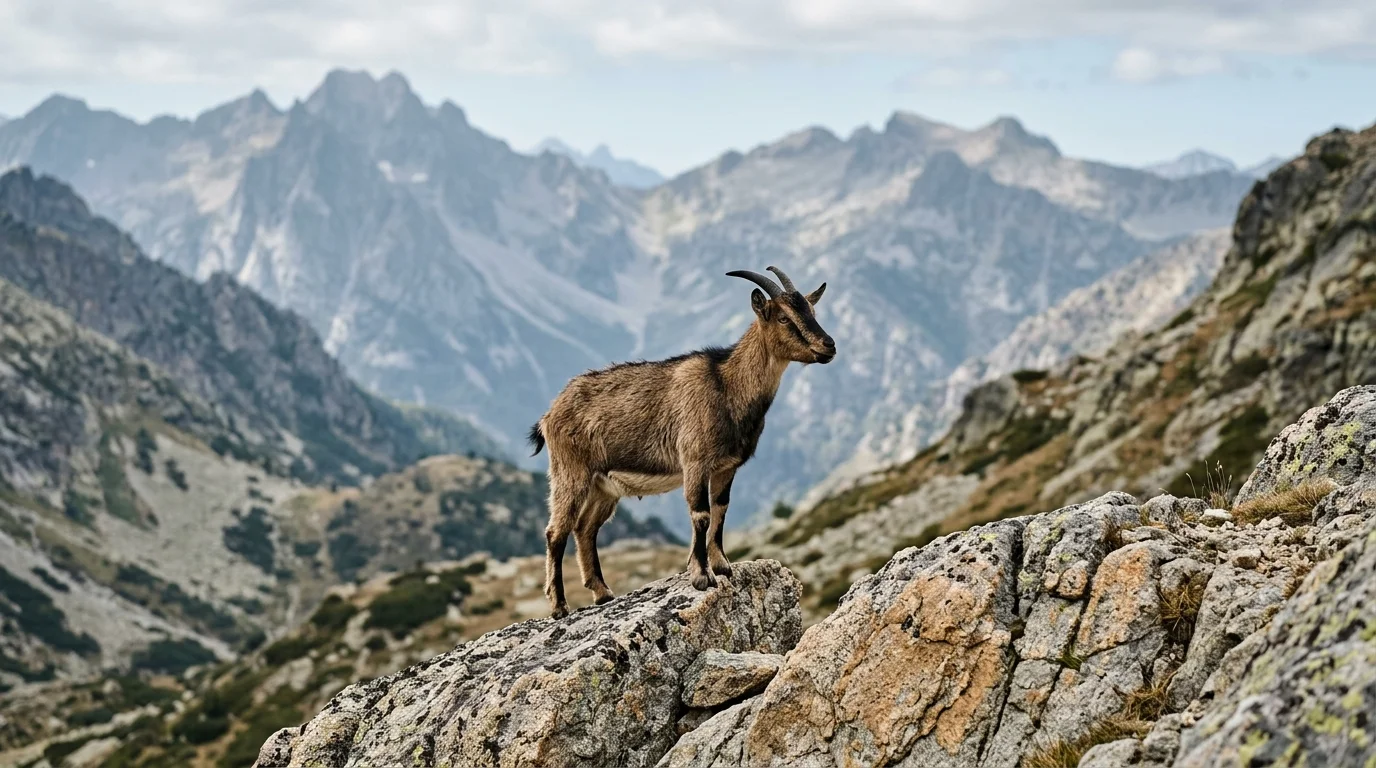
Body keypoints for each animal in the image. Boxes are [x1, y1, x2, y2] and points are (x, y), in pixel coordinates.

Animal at [528, 266, 836, 618]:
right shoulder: (695, 461)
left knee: (585, 528)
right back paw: (559, 605)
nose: (829, 346)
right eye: (784, 318)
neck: (727, 385)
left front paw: (722, 566)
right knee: (556, 531)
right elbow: (700, 514)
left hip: (603, 486)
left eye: (812, 311)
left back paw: (603, 592)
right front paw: (701, 576)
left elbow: (720, 509)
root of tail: (549, 414)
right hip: (571, 472)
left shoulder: (726, 467)